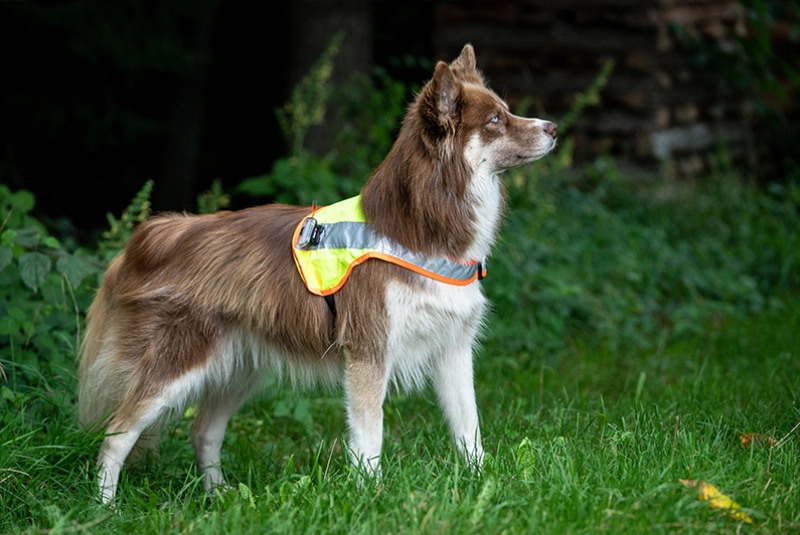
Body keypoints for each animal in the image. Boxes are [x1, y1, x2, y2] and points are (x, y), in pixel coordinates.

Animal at [79, 45, 556, 502]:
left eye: (505, 110)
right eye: (495, 120)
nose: (552, 128)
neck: (417, 230)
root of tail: (155, 234)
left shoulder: (453, 349)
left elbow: (469, 430)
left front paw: (483, 484)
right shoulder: (368, 351)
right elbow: (369, 438)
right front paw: (371, 497)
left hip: (240, 368)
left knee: (204, 431)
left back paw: (220, 499)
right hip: (175, 363)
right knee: (115, 436)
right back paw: (104, 507)